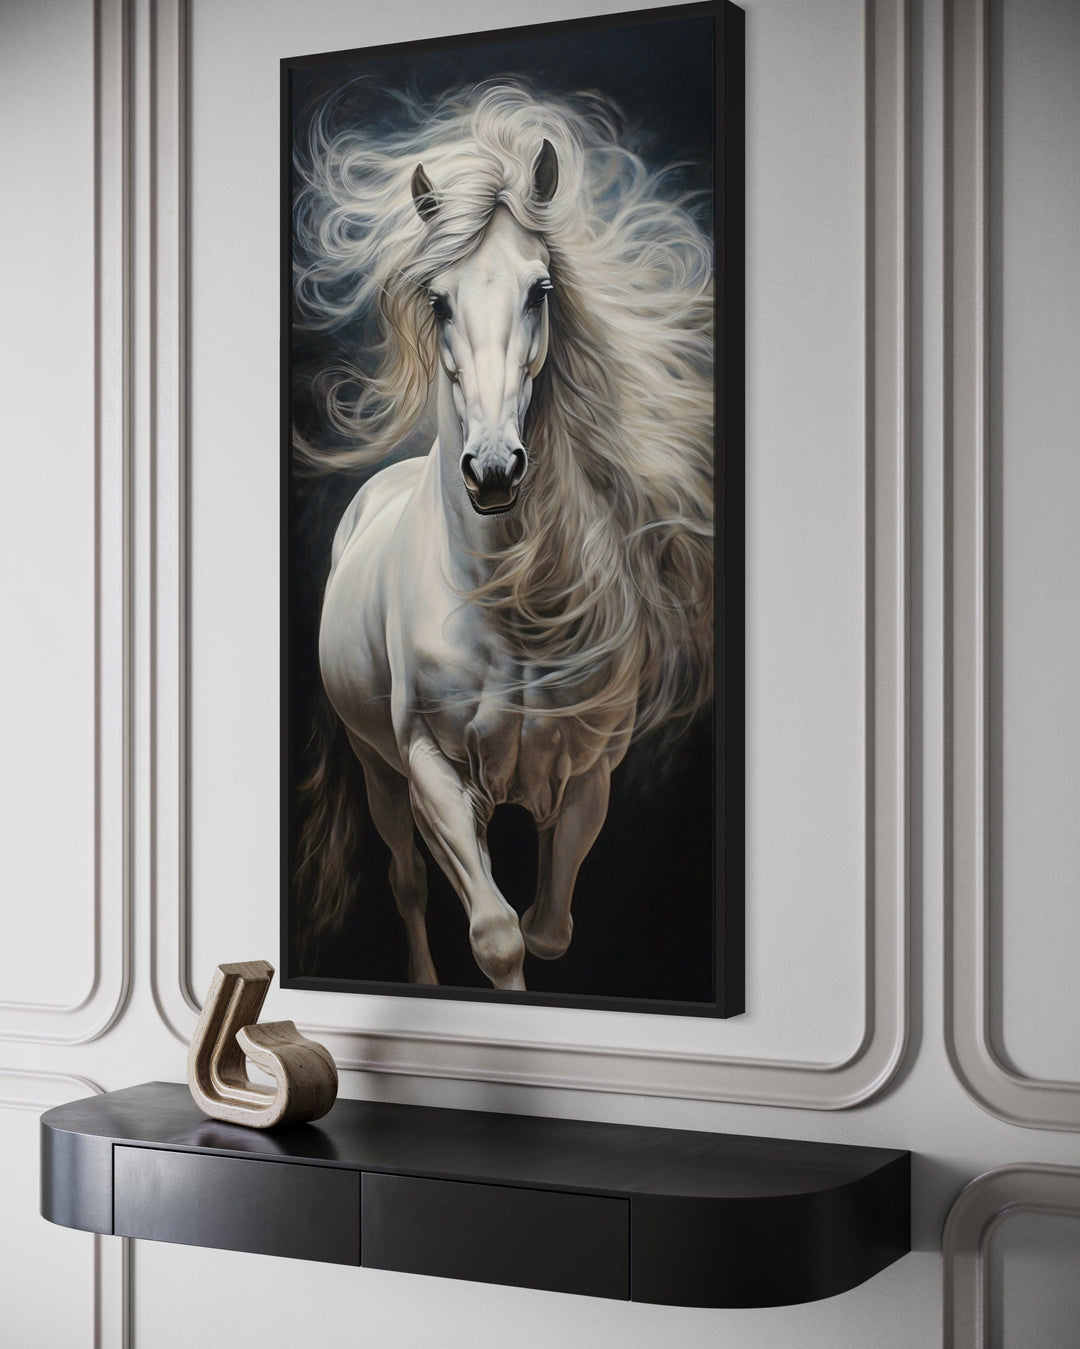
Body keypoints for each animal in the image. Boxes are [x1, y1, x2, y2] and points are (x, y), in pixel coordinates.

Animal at [292, 84, 715, 991]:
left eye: (539, 289)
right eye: (439, 300)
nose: (492, 468)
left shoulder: (588, 772)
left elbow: (545, 928)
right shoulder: (430, 767)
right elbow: (495, 935)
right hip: (379, 771)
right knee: (410, 881)